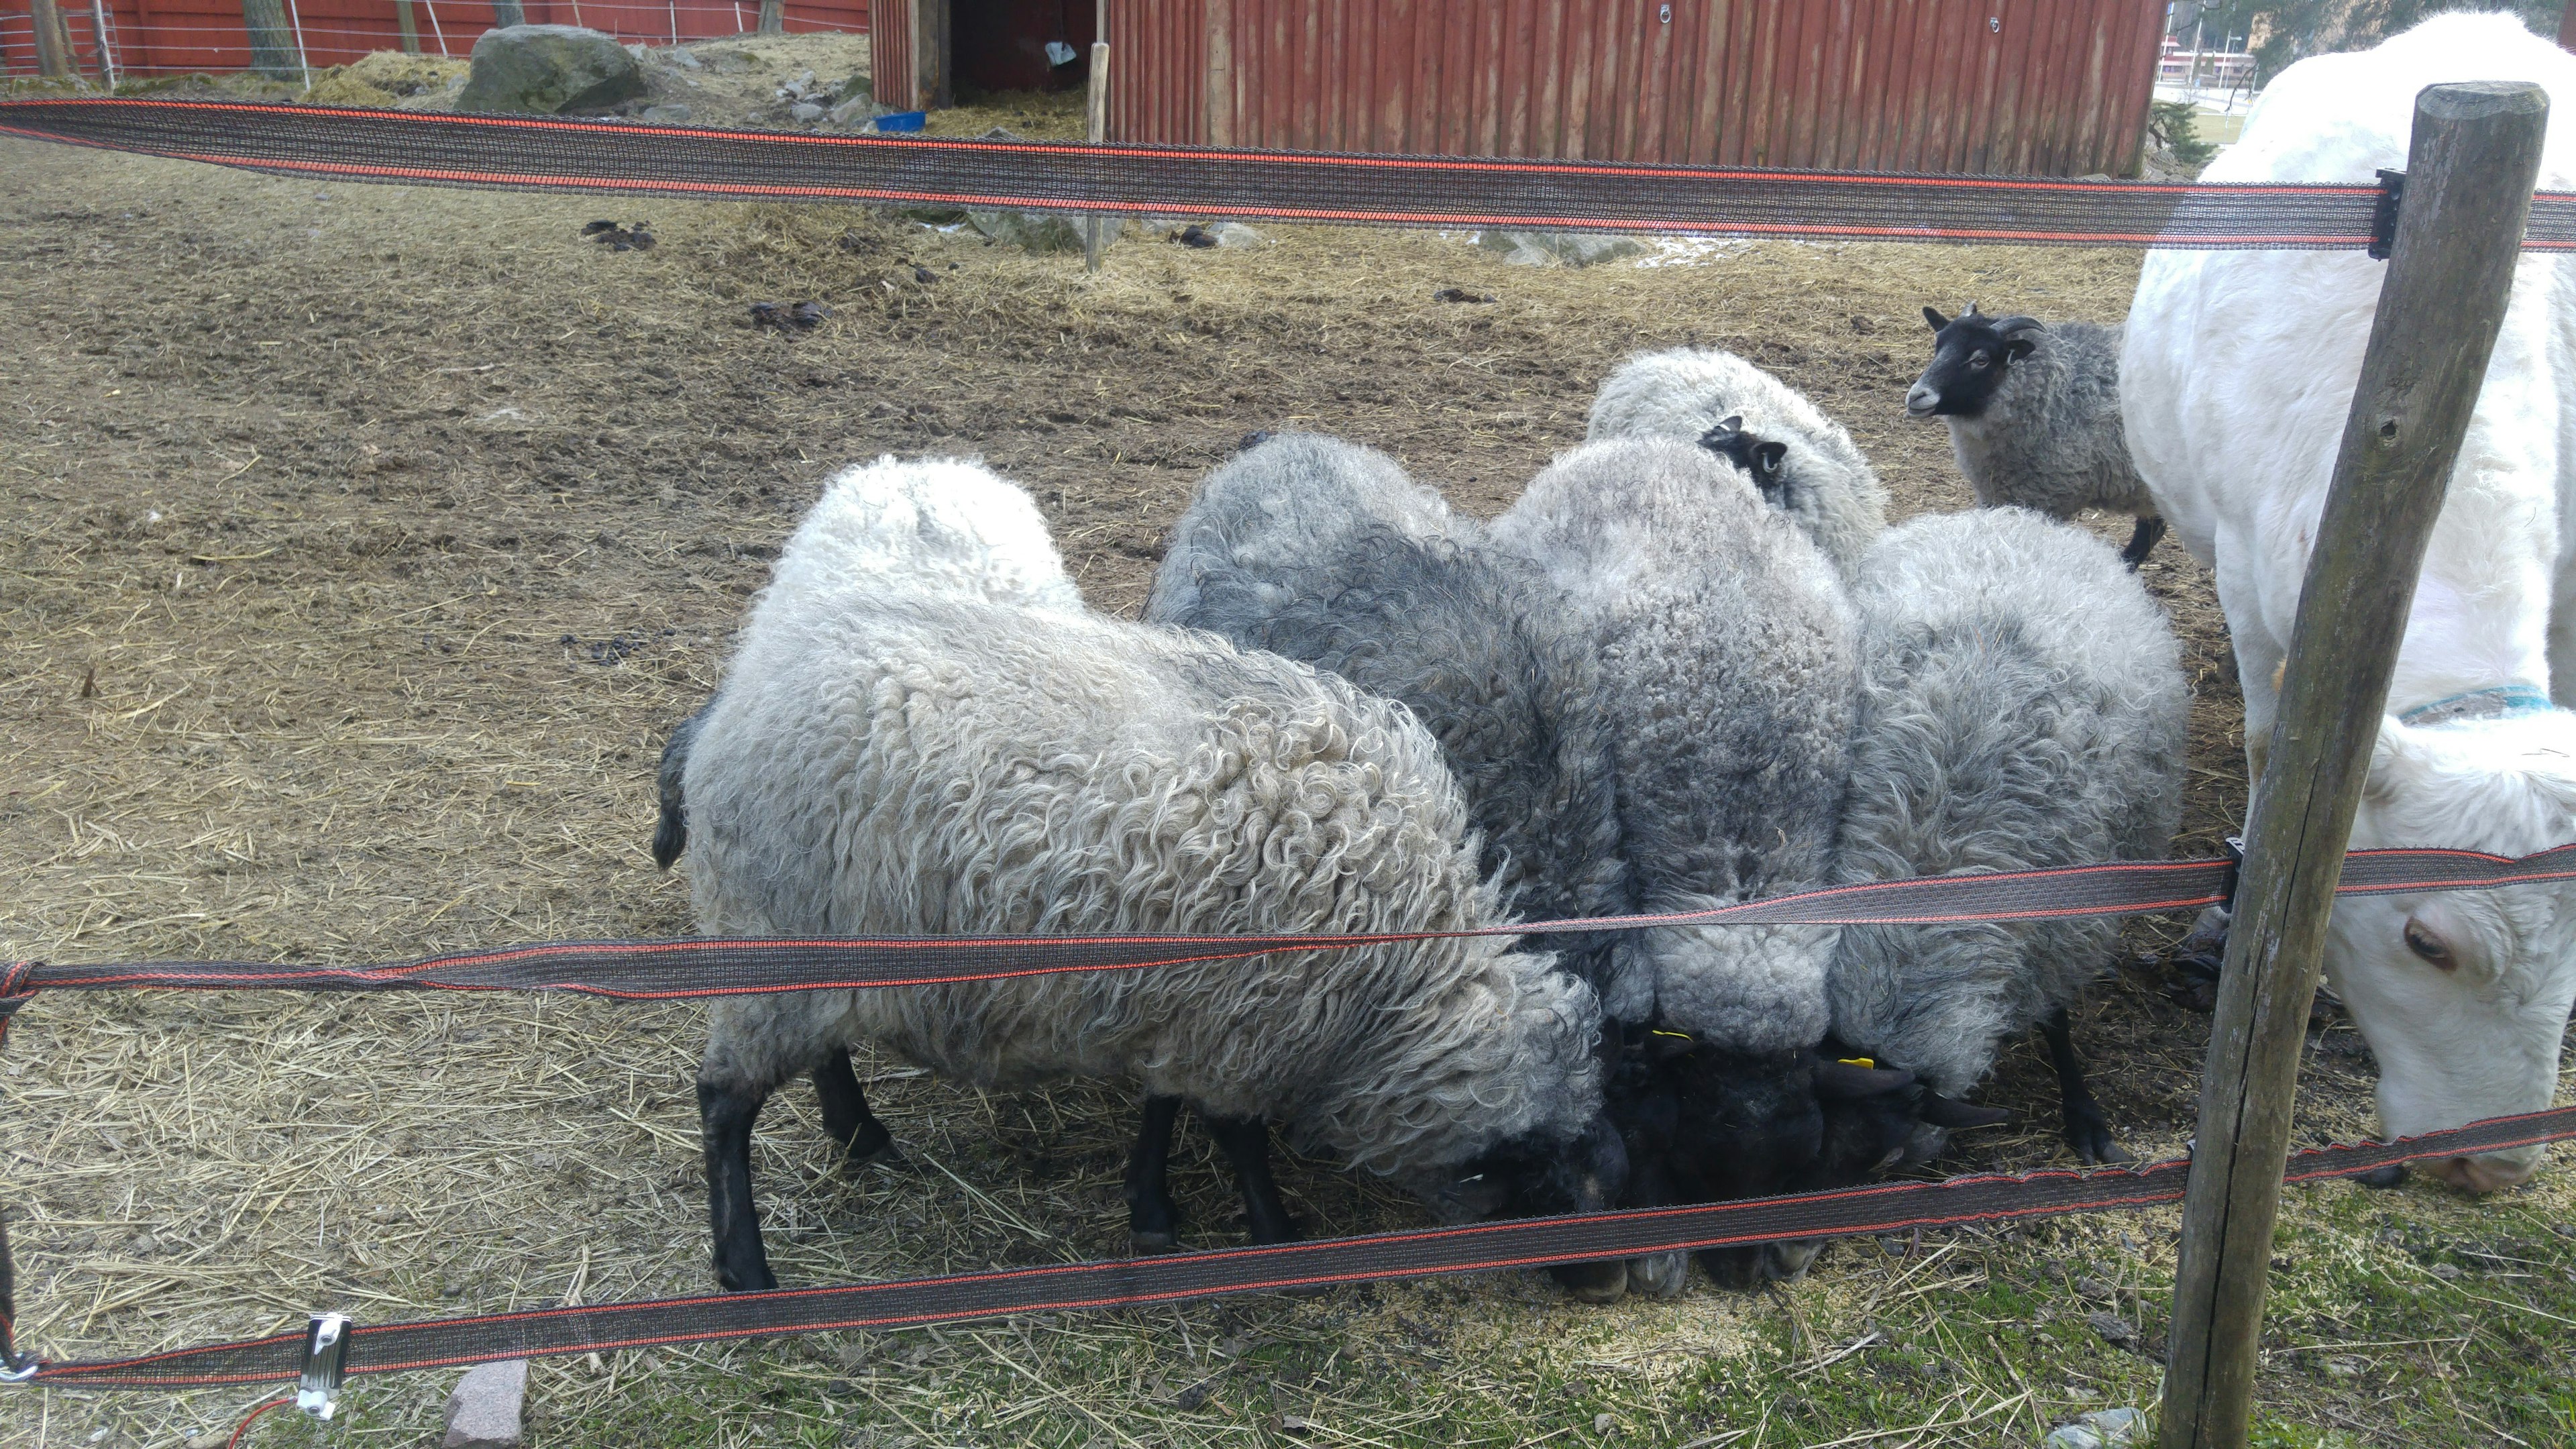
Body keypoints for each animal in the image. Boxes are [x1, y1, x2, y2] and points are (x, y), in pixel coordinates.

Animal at [664, 451, 1627, 1284]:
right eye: (1544, 1168)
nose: (1611, 1280)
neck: (1396, 972)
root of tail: (733, 710)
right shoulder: (1240, 1025)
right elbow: (1236, 1138)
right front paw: (1271, 1229)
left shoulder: (1183, 1007)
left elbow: (1164, 1108)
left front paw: (1153, 1204)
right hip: (768, 926)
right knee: (723, 1101)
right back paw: (747, 1267)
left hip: (817, 934)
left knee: (819, 1049)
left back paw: (860, 1136)